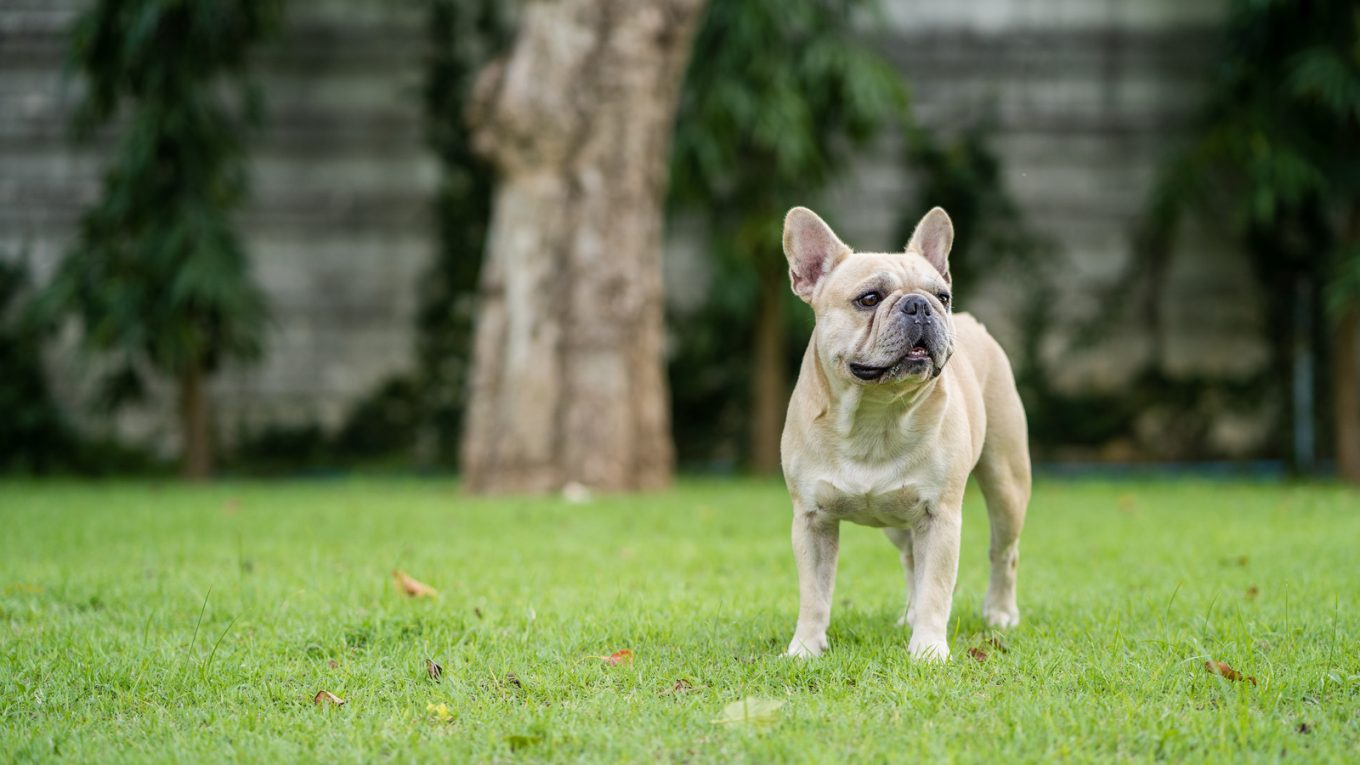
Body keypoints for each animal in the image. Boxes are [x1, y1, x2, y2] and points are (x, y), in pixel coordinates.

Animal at [777, 205, 1028, 658]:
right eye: (869, 299)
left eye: (942, 297)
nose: (921, 305)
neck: (877, 413)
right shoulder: (811, 520)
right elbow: (814, 594)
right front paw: (805, 648)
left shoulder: (940, 518)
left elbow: (937, 588)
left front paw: (928, 651)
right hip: (897, 521)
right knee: (911, 560)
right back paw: (908, 618)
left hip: (1007, 485)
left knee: (1004, 553)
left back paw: (1000, 614)